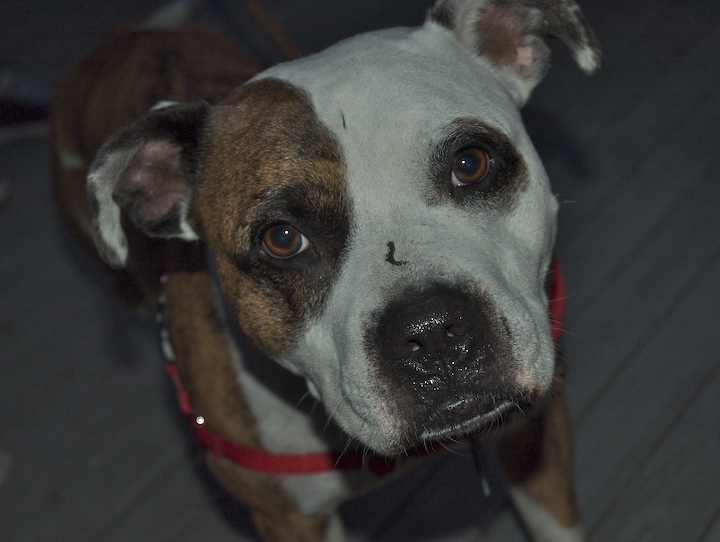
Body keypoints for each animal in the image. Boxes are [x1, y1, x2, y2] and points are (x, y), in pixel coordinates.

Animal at [52, 1, 600, 540]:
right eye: (282, 238)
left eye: (470, 163)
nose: (433, 333)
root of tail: (122, 36)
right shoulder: (290, 519)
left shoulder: (535, 437)